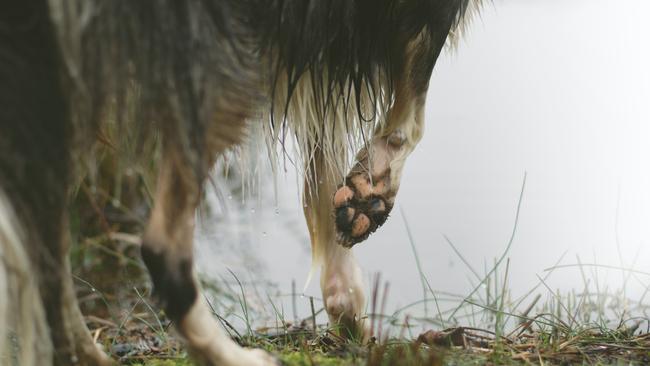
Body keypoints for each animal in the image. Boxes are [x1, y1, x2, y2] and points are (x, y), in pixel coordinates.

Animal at [0, 1, 476, 364]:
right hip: (219, 61)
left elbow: (324, 163)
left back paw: (87, 354)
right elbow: (413, 110)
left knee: (46, 249)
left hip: (58, 88)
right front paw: (372, 190)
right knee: (160, 249)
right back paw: (238, 357)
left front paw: (348, 305)